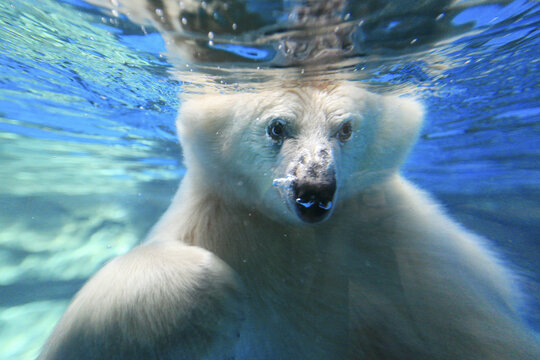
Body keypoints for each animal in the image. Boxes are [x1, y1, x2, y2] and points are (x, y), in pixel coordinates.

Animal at [40, 83, 536, 358]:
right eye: (277, 127)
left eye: (345, 128)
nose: (314, 189)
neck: (298, 236)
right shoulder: (221, 225)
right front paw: (207, 297)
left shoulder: (399, 249)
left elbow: (476, 335)